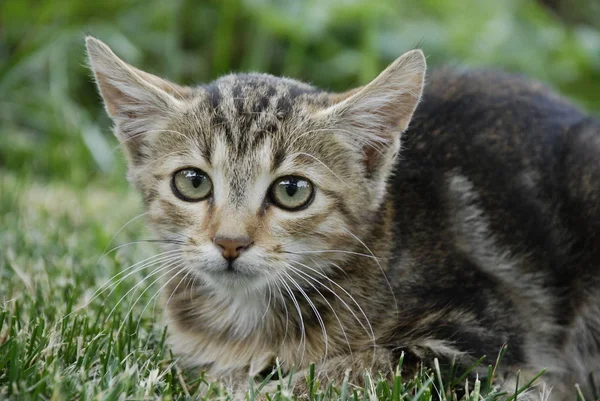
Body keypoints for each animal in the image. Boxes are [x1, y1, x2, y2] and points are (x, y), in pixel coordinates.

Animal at [86, 36, 600, 398]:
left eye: (292, 191)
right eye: (192, 183)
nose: (230, 242)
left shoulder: (481, 344)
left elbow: (356, 367)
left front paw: (244, 387)